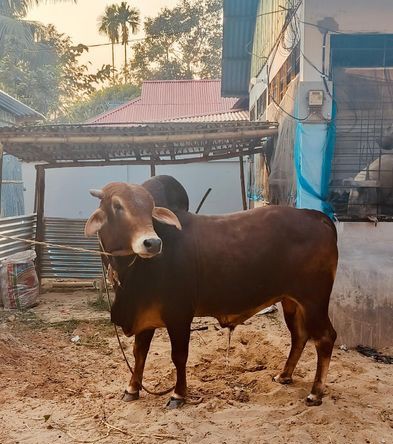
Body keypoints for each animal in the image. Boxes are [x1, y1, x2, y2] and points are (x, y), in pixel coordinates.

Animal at [86, 179, 336, 408]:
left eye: (150, 207)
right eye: (117, 205)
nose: (152, 243)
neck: (132, 272)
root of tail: (315, 216)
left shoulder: (179, 315)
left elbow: (179, 356)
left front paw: (178, 395)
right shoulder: (145, 316)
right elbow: (139, 353)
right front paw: (132, 388)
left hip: (314, 301)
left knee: (325, 337)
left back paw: (315, 393)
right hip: (291, 301)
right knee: (299, 335)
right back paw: (284, 375)